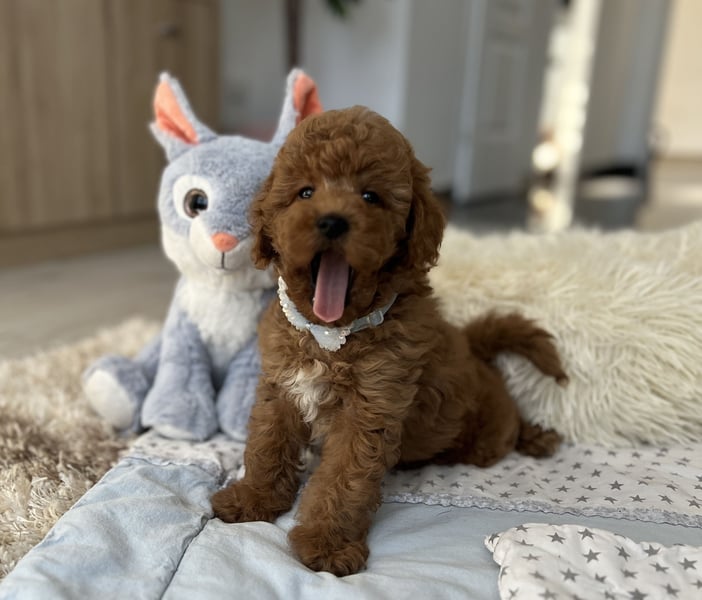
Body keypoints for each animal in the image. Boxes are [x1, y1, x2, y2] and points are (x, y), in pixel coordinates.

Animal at [211, 106, 568, 576]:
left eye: (370, 197)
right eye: (305, 192)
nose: (331, 221)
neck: (331, 335)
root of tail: (474, 347)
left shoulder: (369, 408)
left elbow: (343, 477)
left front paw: (327, 545)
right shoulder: (280, 388)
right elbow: (267, 444)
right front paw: (252, 498)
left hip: (485, 436)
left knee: (507, 428)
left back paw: (535, 436)